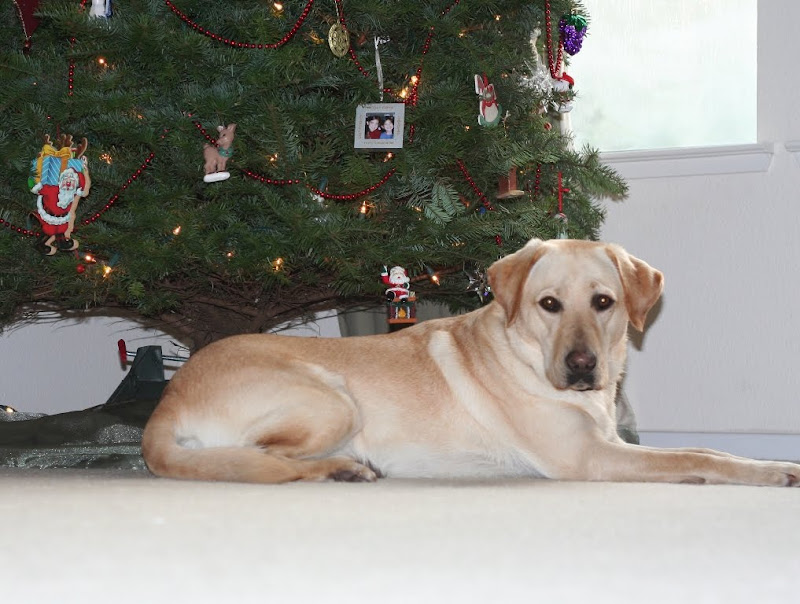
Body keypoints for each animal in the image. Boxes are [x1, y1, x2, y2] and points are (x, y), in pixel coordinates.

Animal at [141, 239, 796, 486]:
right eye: (549, 304)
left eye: (603, 302)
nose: (583, 365)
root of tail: (167, 400)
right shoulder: (588, 458)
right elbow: (693, 457)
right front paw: (769, 474)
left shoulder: (609, 442)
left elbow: (706, 450)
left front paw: (775, 461)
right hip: (333, 401)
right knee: (262, 460)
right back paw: (342, 469)